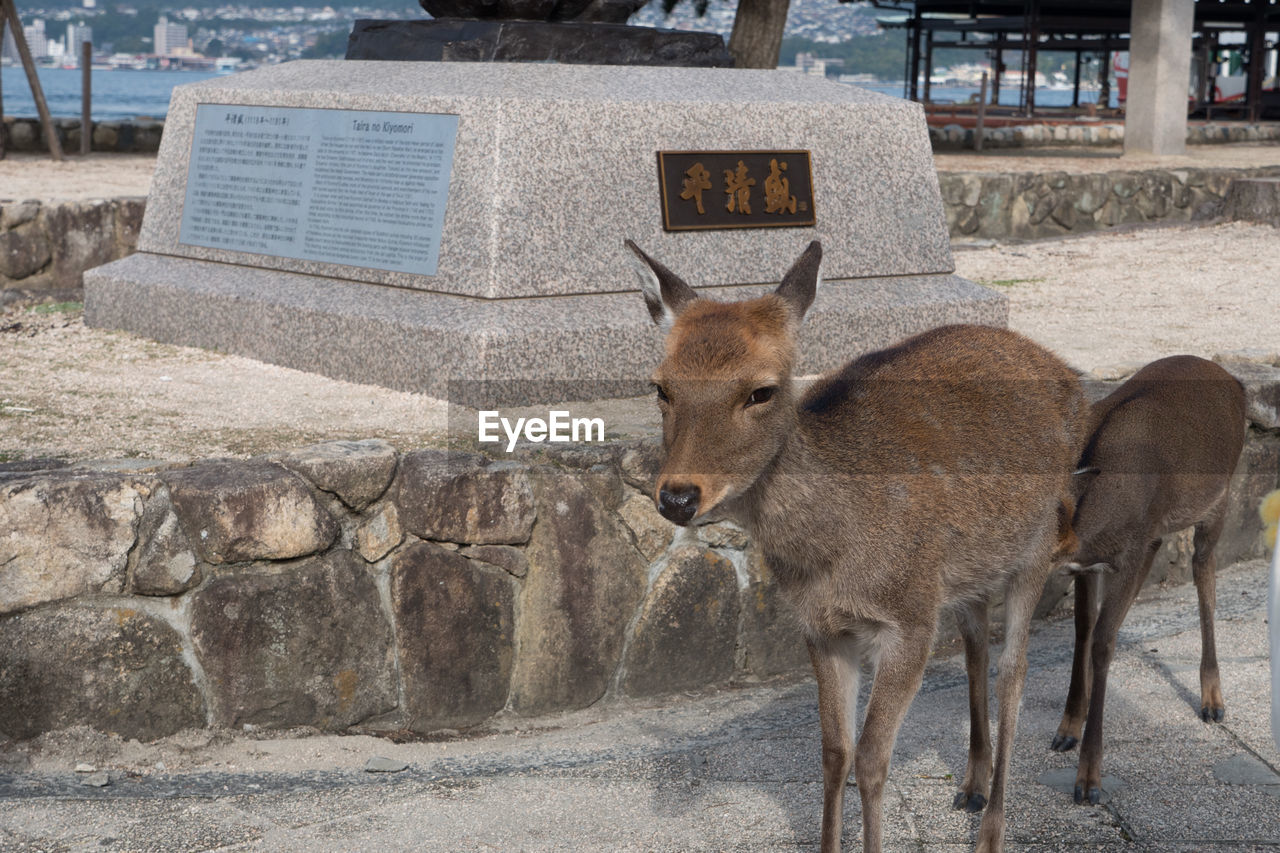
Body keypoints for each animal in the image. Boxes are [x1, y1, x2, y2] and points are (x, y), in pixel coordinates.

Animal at [624, 239, 1085, 850]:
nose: (677, 497)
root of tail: (1069, 374)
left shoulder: (909, 619)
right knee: (976, 651)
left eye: (761, 391)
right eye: (661, 386)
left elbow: (870, 761)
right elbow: (833, 754)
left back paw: (991, 830)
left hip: (1035, 547)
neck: (830, 556)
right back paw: (971, 785)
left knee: (1014, 669)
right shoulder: (821, 628)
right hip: (966, 575)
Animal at [1044, 350, 1244, 804]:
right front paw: (1066, 729)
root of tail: (1232, 379)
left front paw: (1089, 781)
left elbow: (1103, 642)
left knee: (1205, 578)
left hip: (1219, 498)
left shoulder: (1141, 548)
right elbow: (1083, 629)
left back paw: (1213, 701)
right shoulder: (1090, 566)